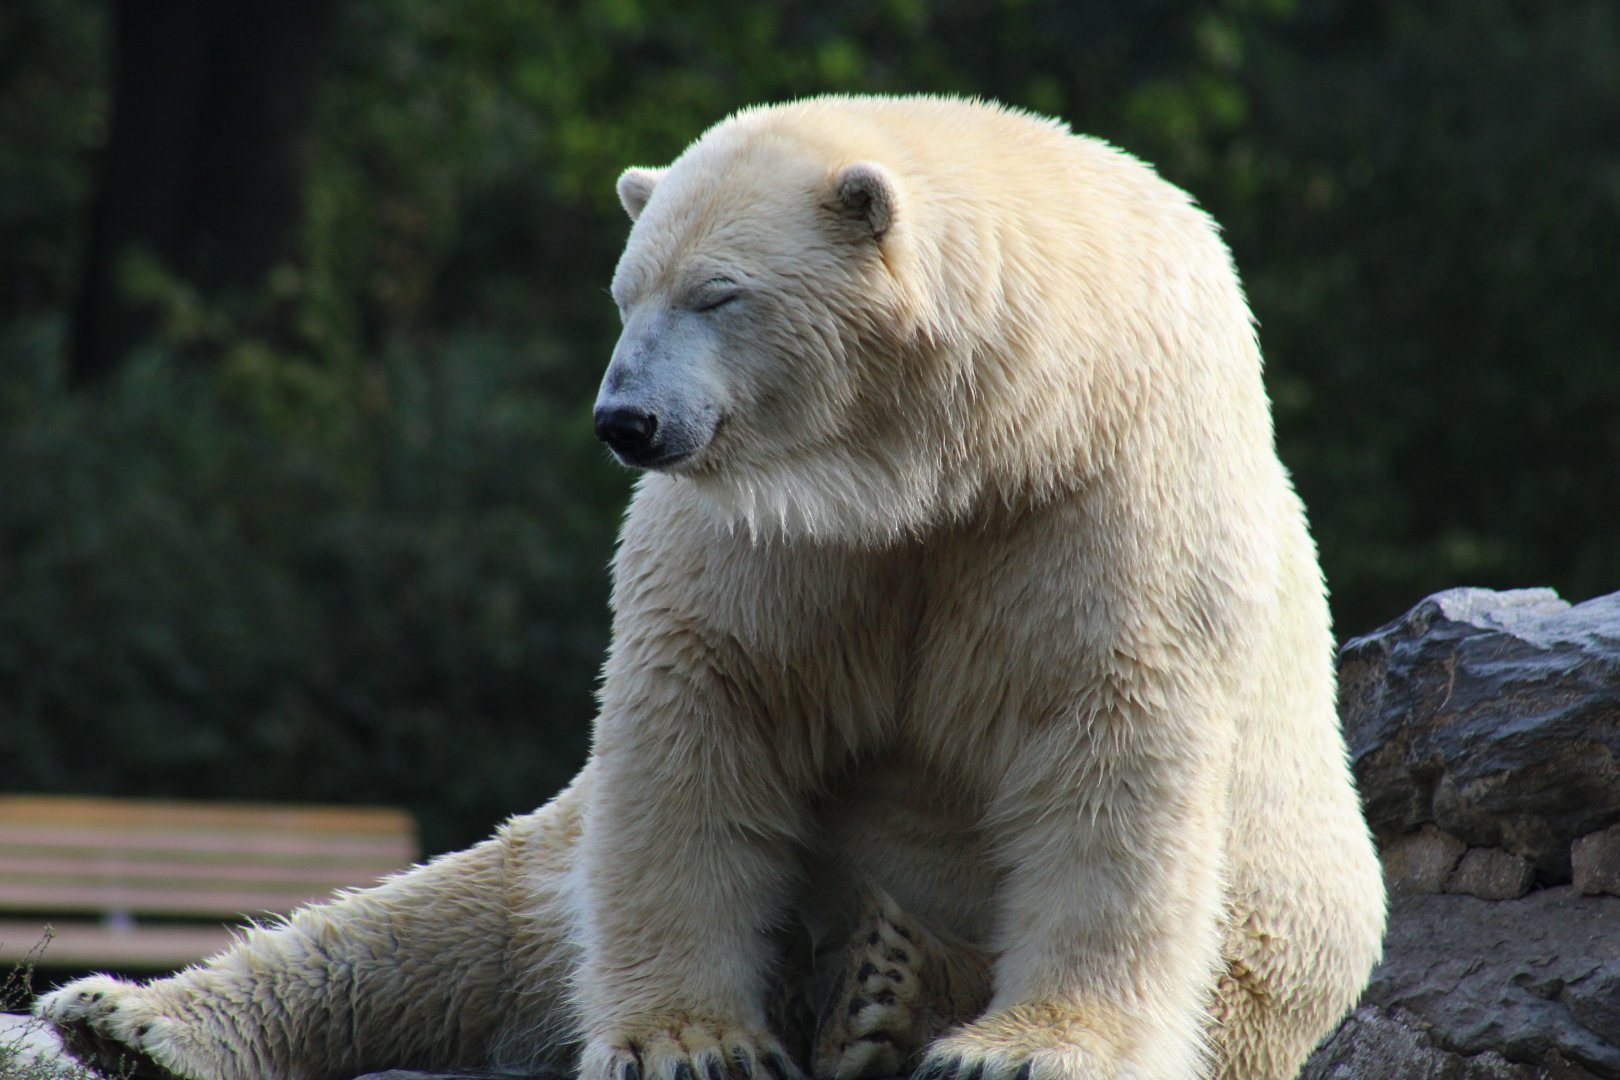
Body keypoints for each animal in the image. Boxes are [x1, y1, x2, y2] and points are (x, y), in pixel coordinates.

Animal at [37, 94, 1385, 1080]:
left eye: (718, 293)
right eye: (626, 292)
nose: (625, 421)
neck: (966, 446)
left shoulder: (1101, 500)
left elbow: (1109, 738)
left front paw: (1023, 1051)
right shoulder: (776, 528)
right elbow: (705, 710)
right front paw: (688, 1045)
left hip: (1295, 924)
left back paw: (892, 985)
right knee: (453, 917)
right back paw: (136, 1018)